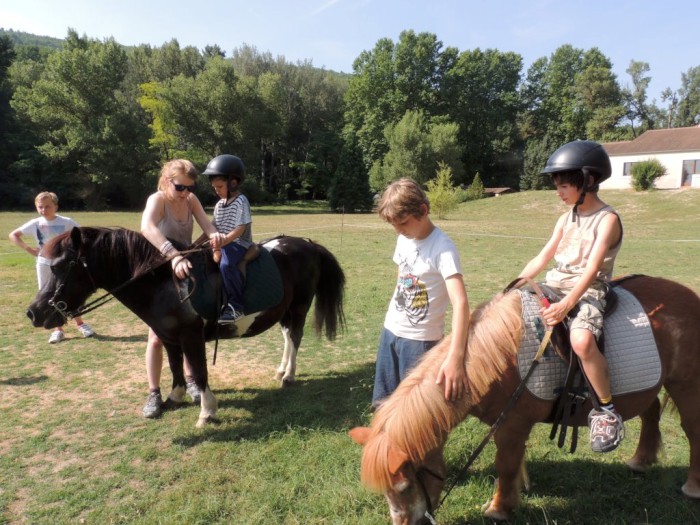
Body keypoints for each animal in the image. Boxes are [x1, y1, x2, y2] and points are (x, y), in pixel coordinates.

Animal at [350, 276, 700, 520]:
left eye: (405, 487)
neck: (494, 356)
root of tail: (690, 296)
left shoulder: (512, 425)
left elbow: (505, 465)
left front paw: (499, 508)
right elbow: (516, 462)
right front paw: (520, 491)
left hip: (685, 385)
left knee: (692, 431)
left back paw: (692, 486)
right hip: (648, 383)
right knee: (651, 411)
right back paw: (640, 461)